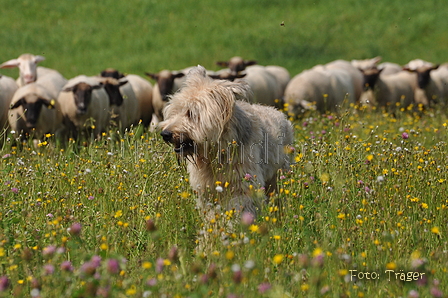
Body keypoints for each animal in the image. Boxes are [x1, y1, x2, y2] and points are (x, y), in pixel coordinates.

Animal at [158, 66, 294, 217]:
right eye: (175, 111)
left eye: (191, 113)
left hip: (280, 175)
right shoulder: (206, 190)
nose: (165, 134)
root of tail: (279, 112)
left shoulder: (243, 186)